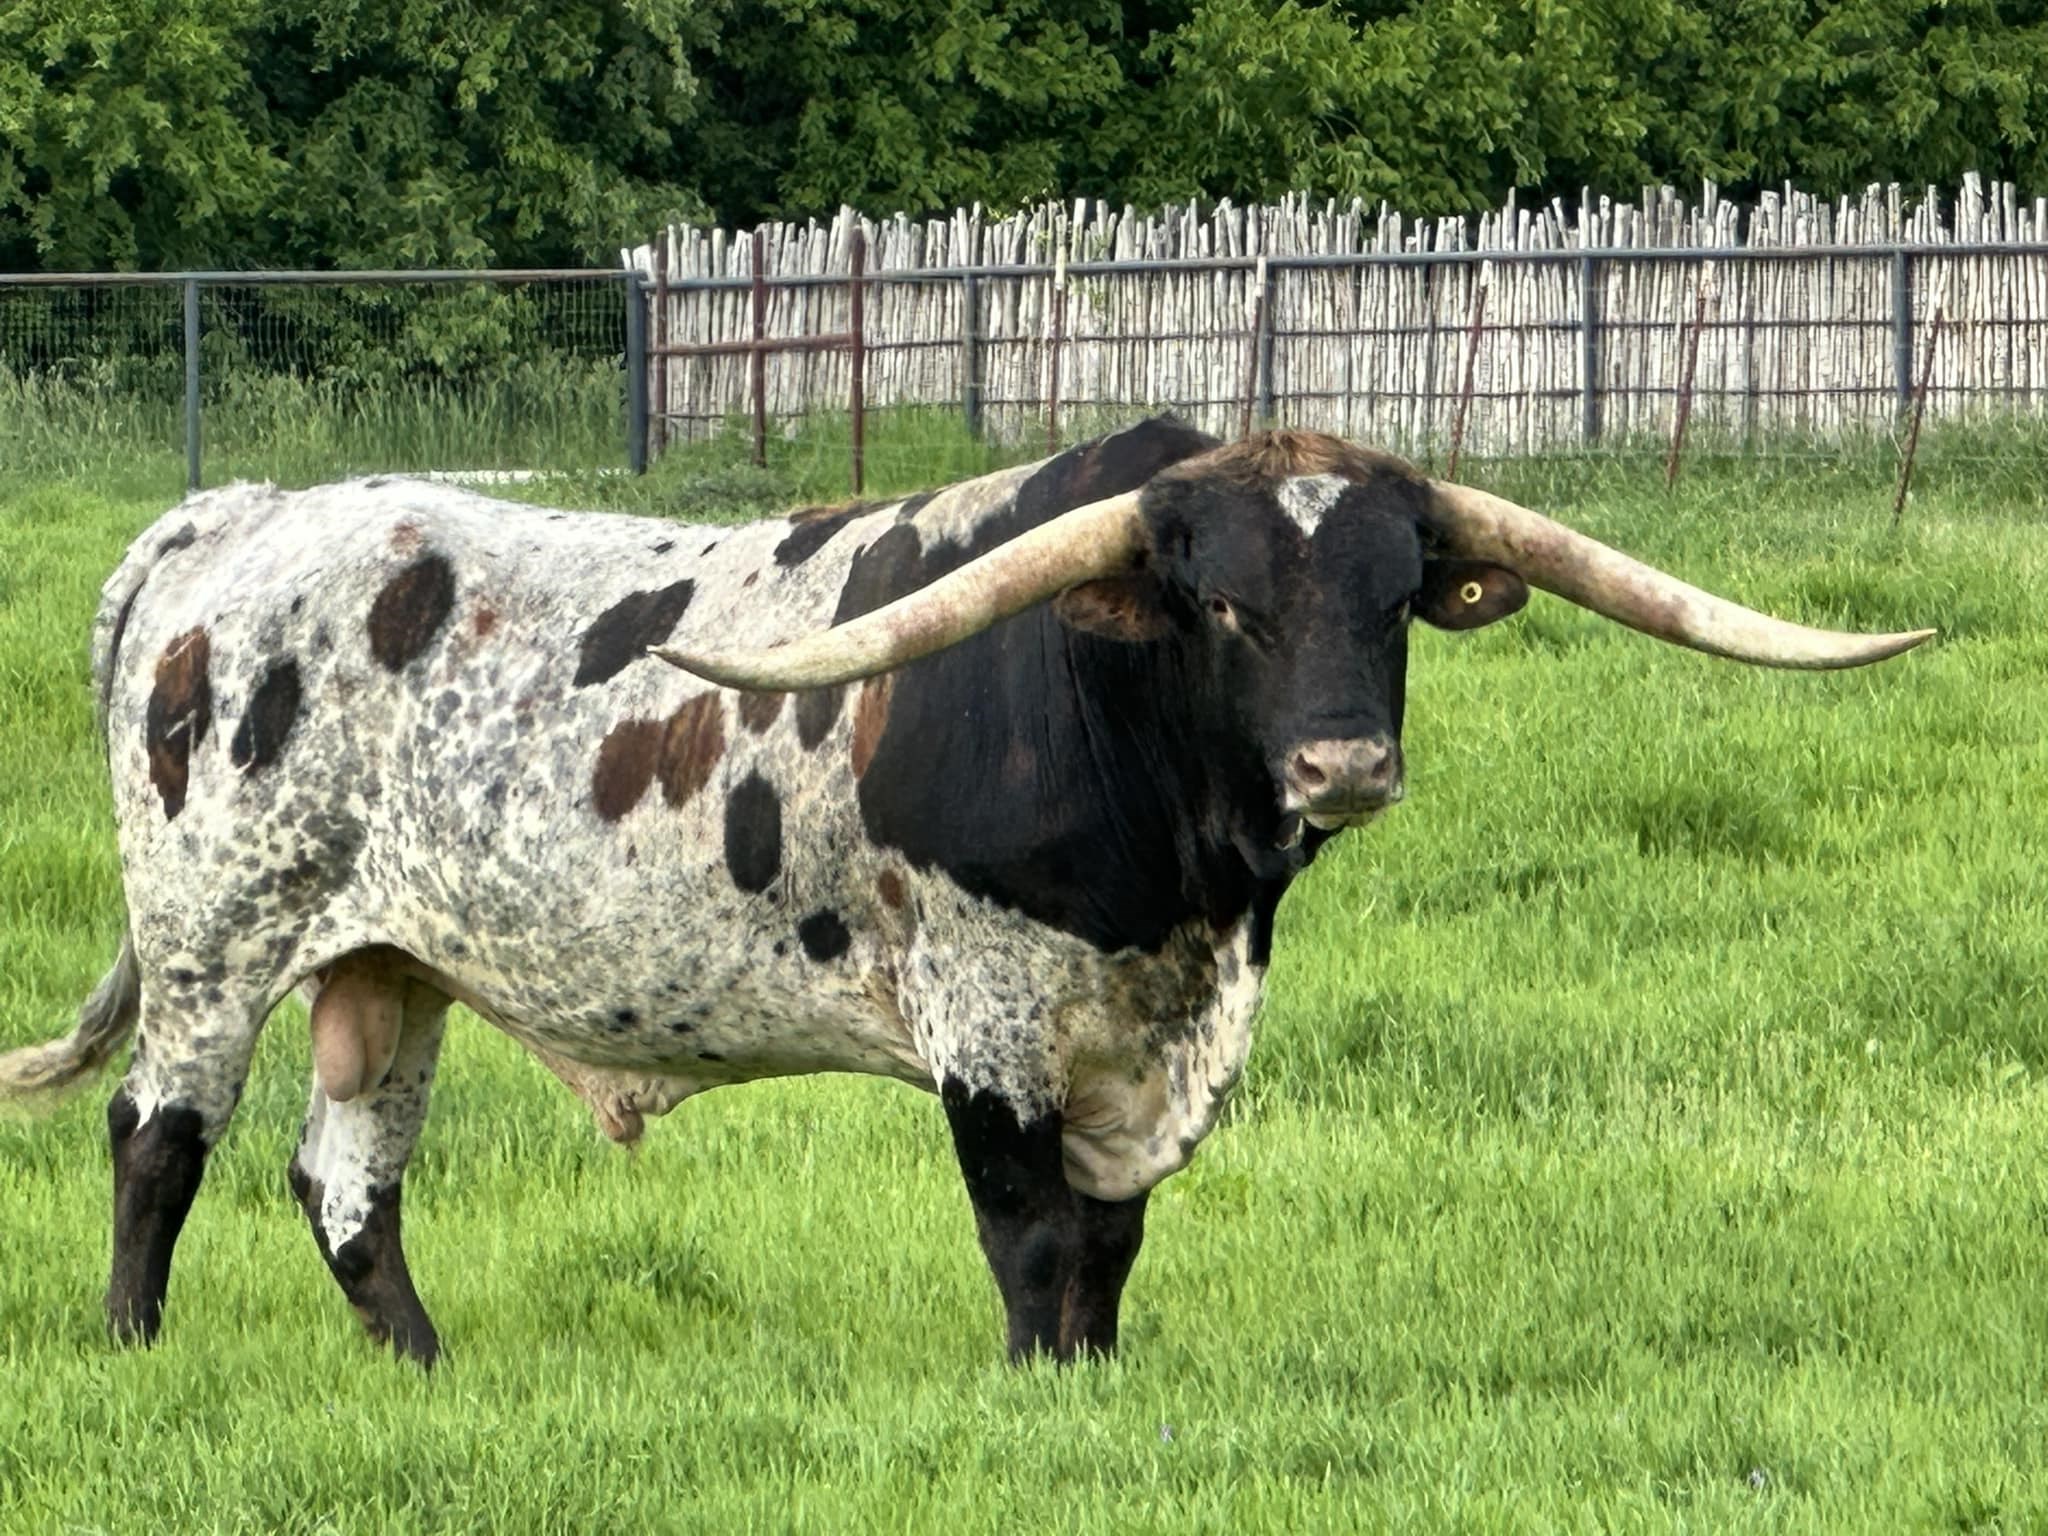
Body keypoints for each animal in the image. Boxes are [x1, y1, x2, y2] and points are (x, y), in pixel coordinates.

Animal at [0, 419, 1930, 1367]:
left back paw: (423, 1369)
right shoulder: (987, 1020)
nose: (1341, 766)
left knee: (346, 1181)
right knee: (158, 1140)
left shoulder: (1142, 1041)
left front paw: (1098, 1386)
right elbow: (1029, 1232)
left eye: (1391, 599)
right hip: (217, 937)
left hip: (387, 965)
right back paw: (134, 1350)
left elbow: (1111, 1238)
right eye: (1220, 604)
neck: (1181, 881)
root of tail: (234, 519)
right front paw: (1033, 1392)